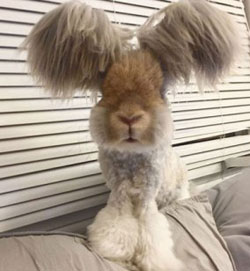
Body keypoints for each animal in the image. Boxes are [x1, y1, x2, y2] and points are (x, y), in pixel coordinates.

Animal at [23, 0, 240, 270]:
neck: (132, 154)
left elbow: (149, 227)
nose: (129, 117)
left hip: (178, 192)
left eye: (159, 90)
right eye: (106, 90)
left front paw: (156, 261)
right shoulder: (119, 191)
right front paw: (114, 251)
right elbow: (117, 220)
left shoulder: (147, 195)